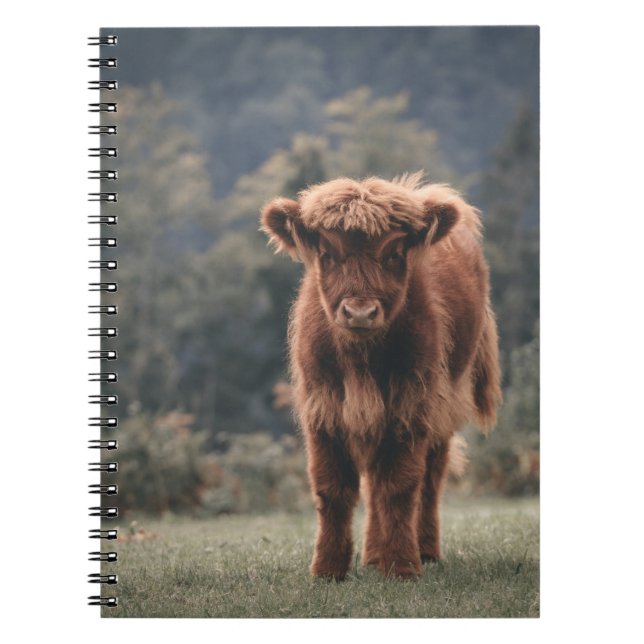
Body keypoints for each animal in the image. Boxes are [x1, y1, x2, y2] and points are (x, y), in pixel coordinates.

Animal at [260, 173, 502, 580]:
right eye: (328, 254)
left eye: (393, 254)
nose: (359, 312)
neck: (361, 360)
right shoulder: (323, 406)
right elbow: (332, 488)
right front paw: (327, 570)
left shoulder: (411, 403)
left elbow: (400, 486)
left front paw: (402, 566)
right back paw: (373, 556)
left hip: (445, 403)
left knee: (430, 478)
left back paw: (424, 551)